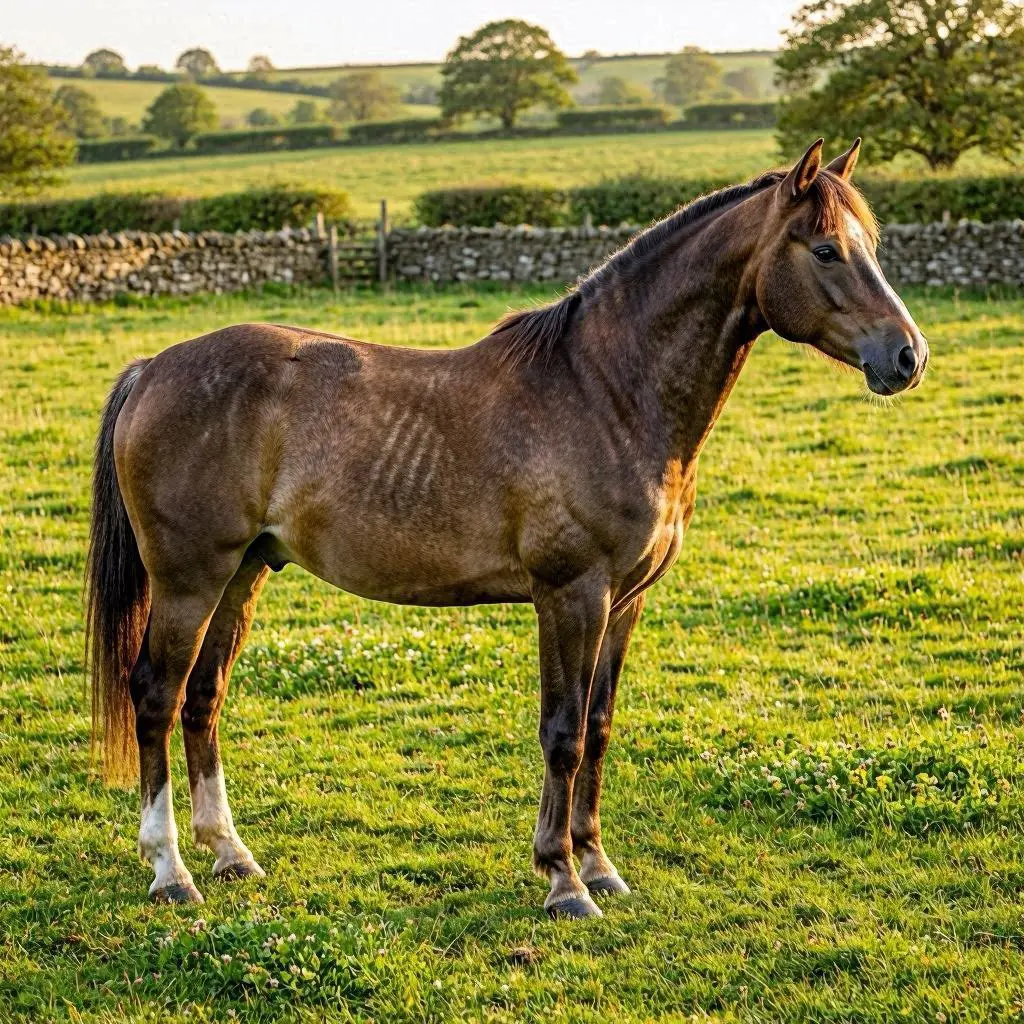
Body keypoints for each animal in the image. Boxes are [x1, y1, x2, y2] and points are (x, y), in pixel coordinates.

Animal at [86, 138, 929, 918]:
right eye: (826, 249)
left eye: (871, 245)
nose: (907, 356)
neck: (607, 392)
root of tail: (153, 367)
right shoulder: (570, 595)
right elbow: (563, 732)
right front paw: (562, 881)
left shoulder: (624, 603)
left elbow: (598, 726)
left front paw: (598, 865)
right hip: (189, 580)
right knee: (156, 696)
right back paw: (172, 871)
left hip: (243, 573)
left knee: (203, 697)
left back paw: (230, 853)